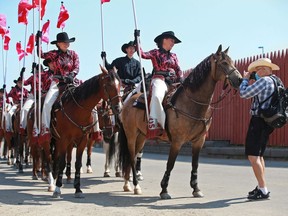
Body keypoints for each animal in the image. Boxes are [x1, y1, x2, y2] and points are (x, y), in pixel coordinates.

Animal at [118, 45, 242, 199]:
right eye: (224, 63)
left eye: (232, 62)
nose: (240, 80)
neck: (191, 103)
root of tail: (128, 101)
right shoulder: (177, 141)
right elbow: (170, 164)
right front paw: (164, 190)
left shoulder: (199, 141)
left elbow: (195, 164)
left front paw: (196, 188)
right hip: (131, 135)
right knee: (131, 157)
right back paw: (135, 185)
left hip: (141, 137)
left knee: (133, 157)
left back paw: (127, 184)